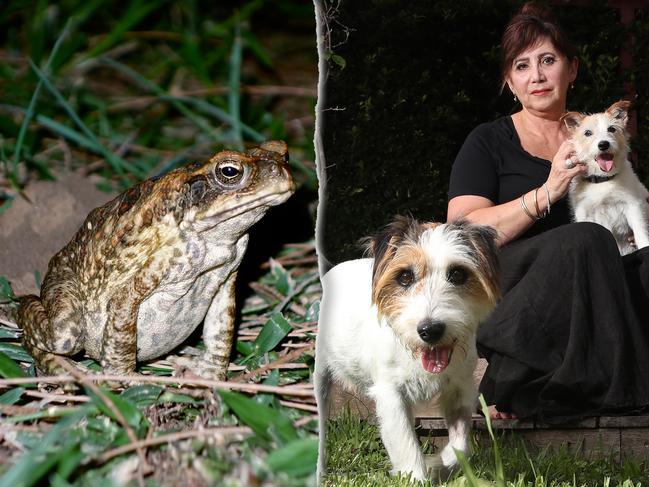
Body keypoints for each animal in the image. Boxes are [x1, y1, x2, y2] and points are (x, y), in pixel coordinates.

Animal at [312, 218, 498, 484]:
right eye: (405, 277)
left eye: (458, 274)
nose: (430, 330)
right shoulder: (390, 395)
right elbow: (405, 443)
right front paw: (418, 476)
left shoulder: (460, 389)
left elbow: (461, 446)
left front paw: (437, 465)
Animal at [560, 101, 644, 258]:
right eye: (587, 133)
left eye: (611, 129)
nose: (603, 144)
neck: (603, 180)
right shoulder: (585, 215)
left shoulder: (633, 205)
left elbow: (641, 233)